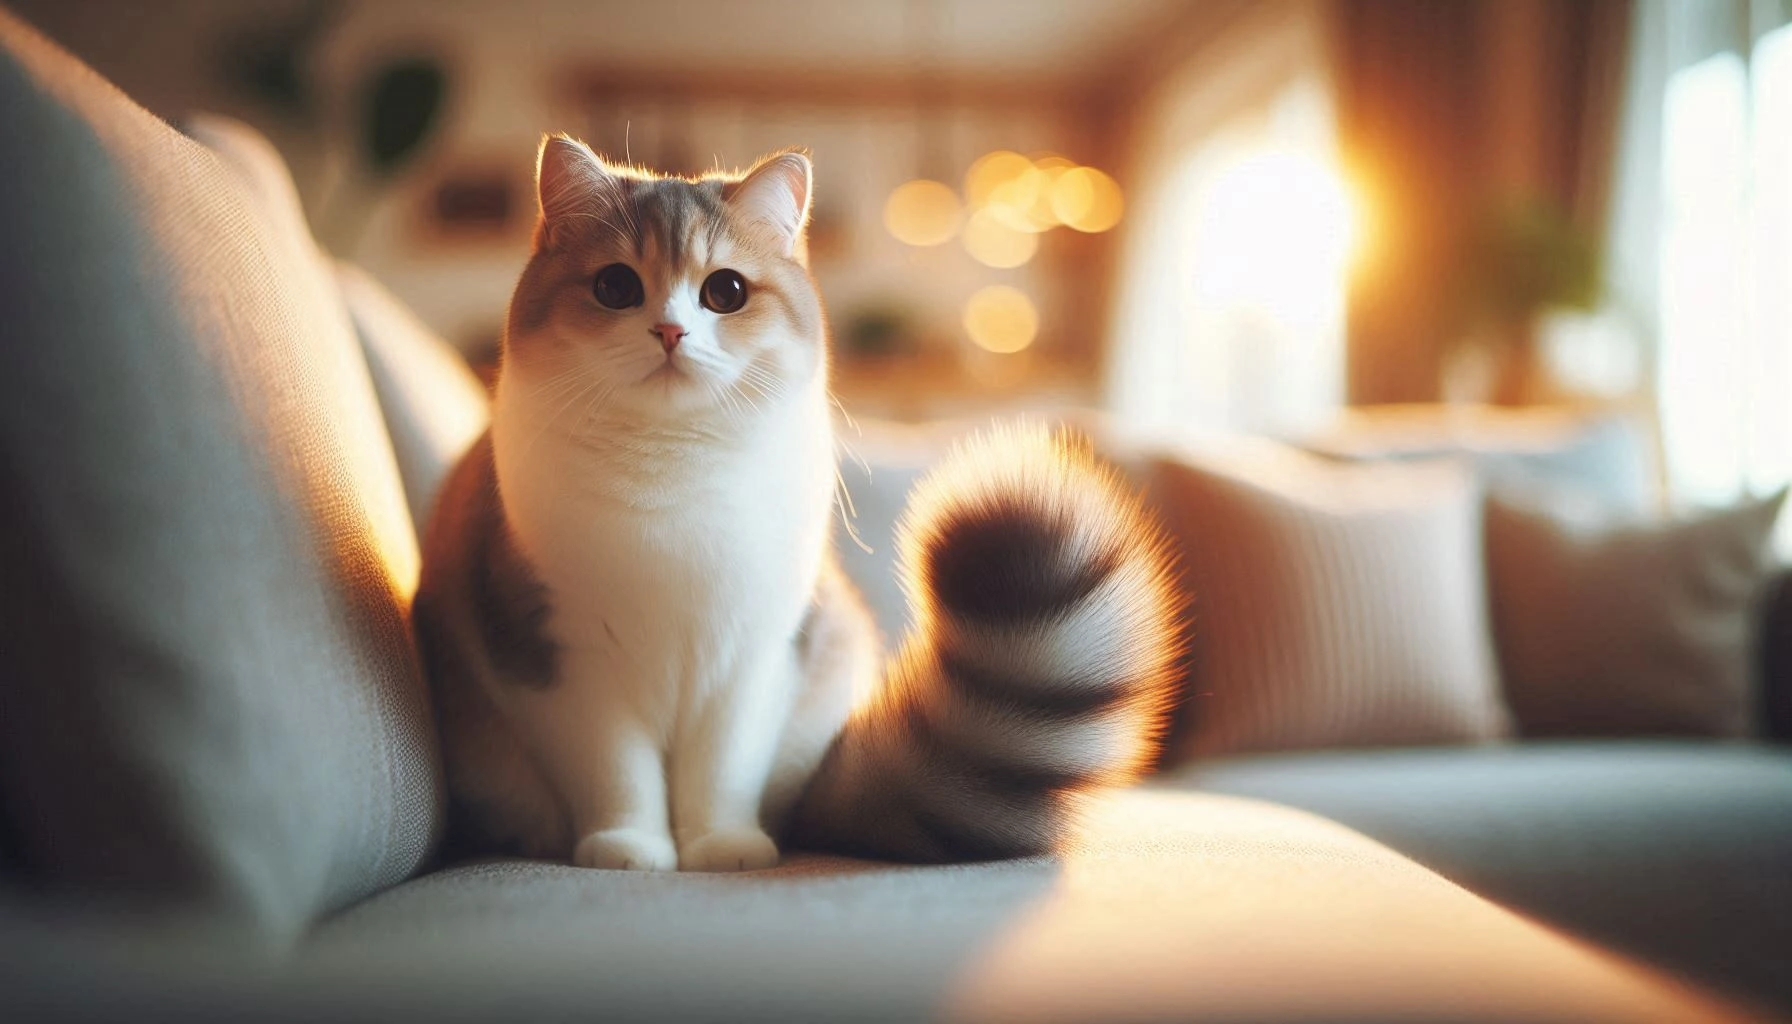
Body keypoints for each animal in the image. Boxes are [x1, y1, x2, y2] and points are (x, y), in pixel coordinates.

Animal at [410, 134, 1182, 875]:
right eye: (614, 286)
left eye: (724, 291)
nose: (669, 332)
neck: (673, 464)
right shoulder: (558, 654)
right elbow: (616, 768)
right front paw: (630, 846)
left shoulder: (760, 649)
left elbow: (725, 765)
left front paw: (722, 844)